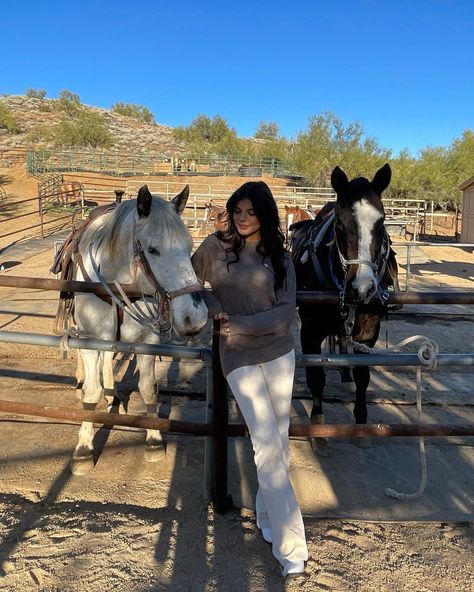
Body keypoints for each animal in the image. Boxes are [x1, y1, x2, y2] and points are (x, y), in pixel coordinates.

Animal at [71, 185, 207, 476]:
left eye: (189, 245)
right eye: (153, 250)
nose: (196, 318)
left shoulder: (147, 339)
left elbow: (147, 387)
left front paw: (153, 440)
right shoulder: (89, 341)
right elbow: (90, 391)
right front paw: (83, 449)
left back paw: (112, 396)